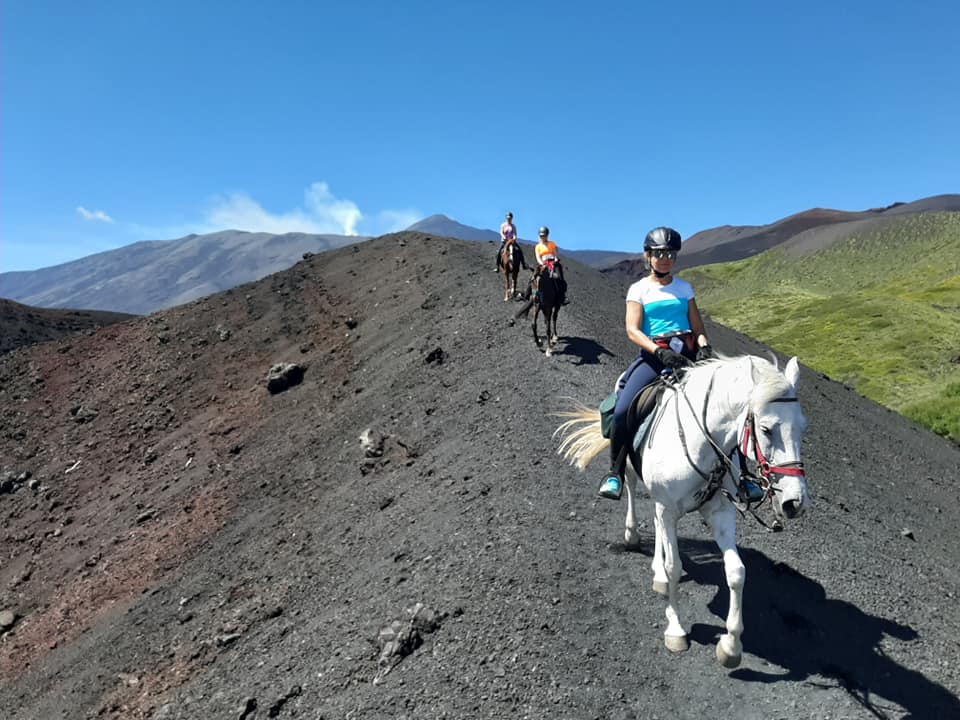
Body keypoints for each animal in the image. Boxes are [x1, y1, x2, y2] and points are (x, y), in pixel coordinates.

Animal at [556, 356, 808, 668]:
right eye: (766, 429)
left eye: (802, 429)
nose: (795, 502)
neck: (703, 444)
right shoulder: (668, 507)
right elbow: (674, 568)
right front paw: (675, 630)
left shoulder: (720, 512)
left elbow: (736, 572)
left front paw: (731, 646)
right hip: (632, 466)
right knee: (631, 491)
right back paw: (631, 533)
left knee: (658, 524)